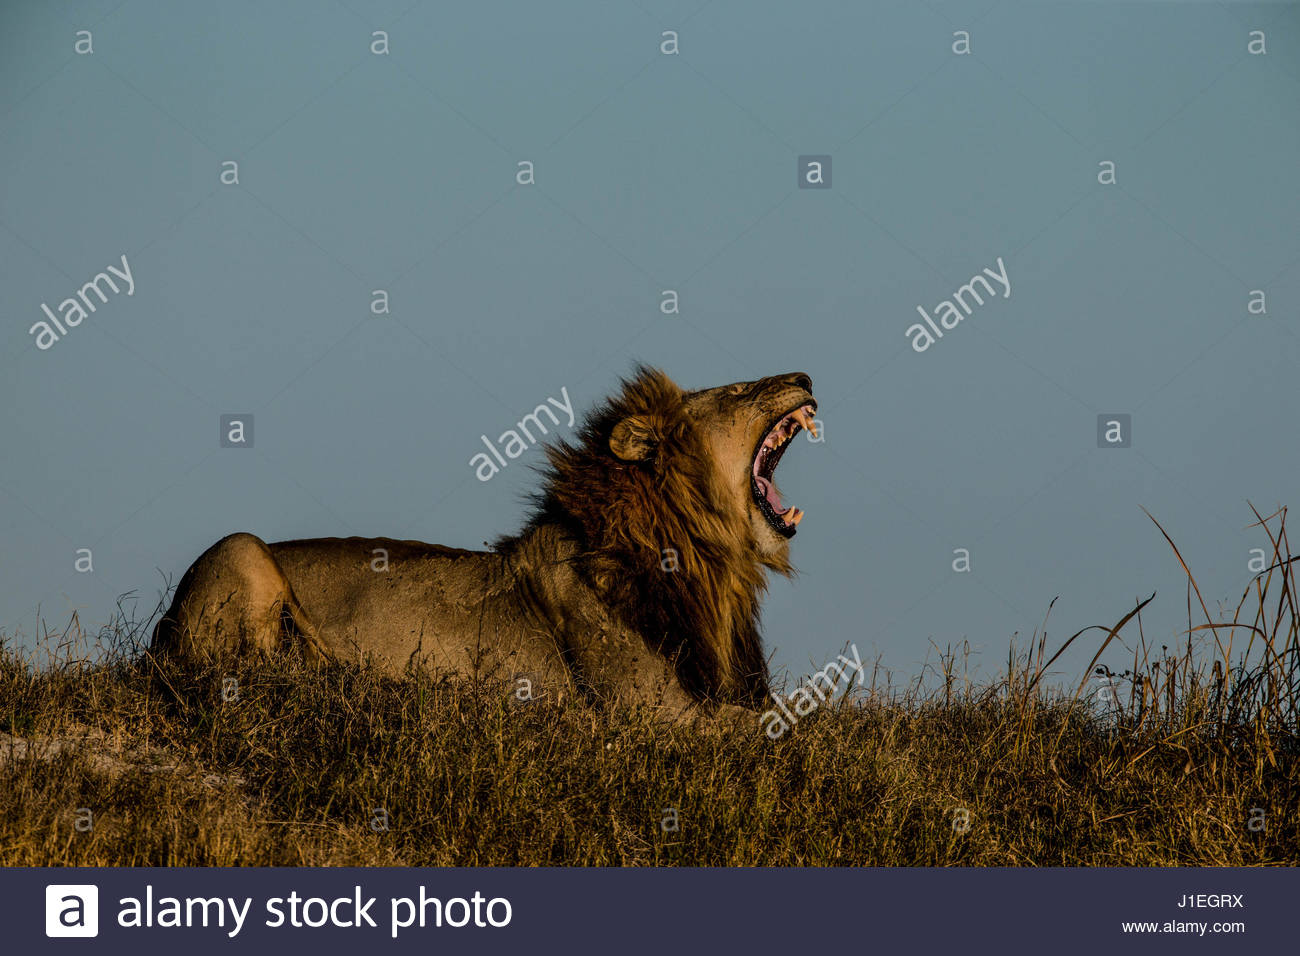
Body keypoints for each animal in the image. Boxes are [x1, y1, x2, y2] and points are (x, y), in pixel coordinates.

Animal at [151, 367, 818, 722]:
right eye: (738, 393)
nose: (805, 378)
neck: (711, 566)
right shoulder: (652, 714)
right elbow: (782, 727)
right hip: (241, 548)